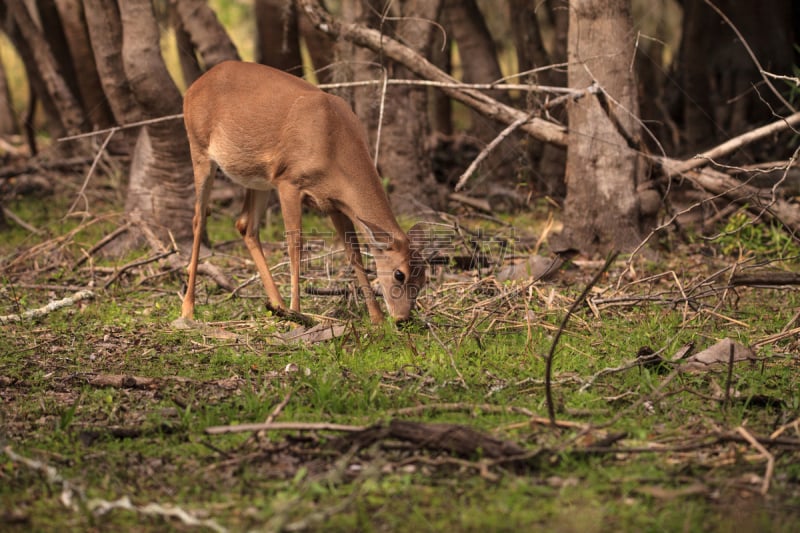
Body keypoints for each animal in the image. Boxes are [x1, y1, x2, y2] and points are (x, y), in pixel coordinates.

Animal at [178, 60, 428, 322]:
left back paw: (276, 304)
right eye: (399, 274)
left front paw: (377, 318)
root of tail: (194, 86)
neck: (333, 142)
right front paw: (297, 311)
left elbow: (354, 253)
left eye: (424, 278)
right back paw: (188, 308)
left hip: (258, 179)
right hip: (199, 149)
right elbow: (295, 245)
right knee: (199, 219)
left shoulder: (334, 203)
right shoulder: (289, 182)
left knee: (246, 225)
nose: (403, 318)